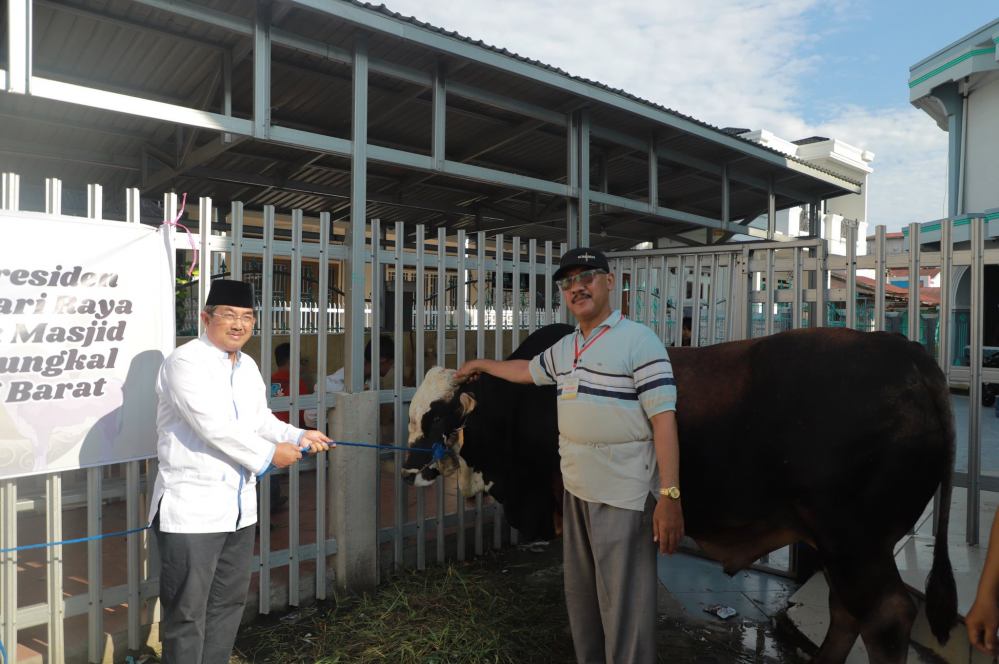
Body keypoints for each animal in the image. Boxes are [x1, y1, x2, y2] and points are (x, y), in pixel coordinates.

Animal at [403, 325, 958, 664]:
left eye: (435, 416)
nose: (407, 469)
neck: (521, 406)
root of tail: (914, 359)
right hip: (840, 545)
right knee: (847, 611)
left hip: (855, 541)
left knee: (886, 618)